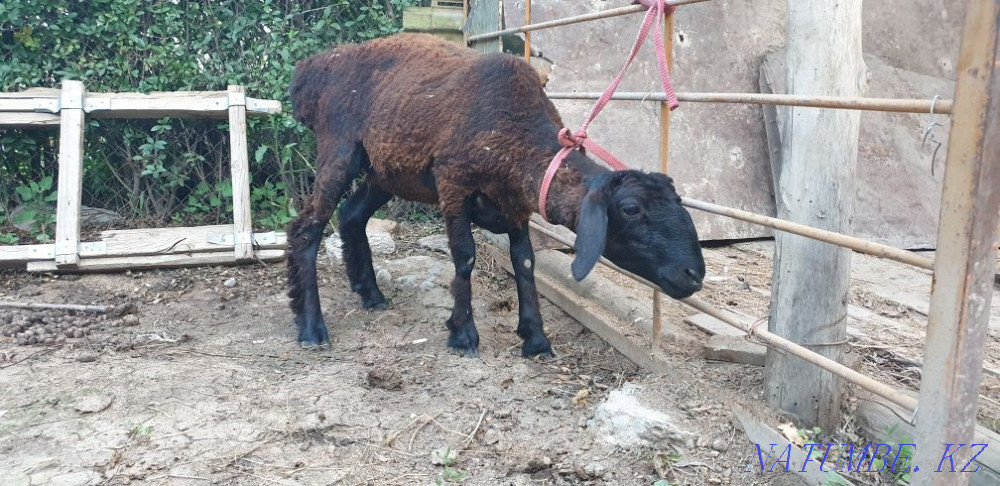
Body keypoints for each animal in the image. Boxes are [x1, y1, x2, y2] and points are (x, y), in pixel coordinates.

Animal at [286, 33, 705, 358]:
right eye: (631, 209)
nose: (694, 274)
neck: (515, 131)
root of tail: (312, 70)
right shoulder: (453, 183)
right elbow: (466, 258)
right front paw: (463, 335)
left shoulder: (515, 204)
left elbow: (525, 262)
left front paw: (535, 339)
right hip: (340, 147)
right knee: (307, 228)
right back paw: (311, 328)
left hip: (384, 170)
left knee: (352, 215)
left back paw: (370, 293)